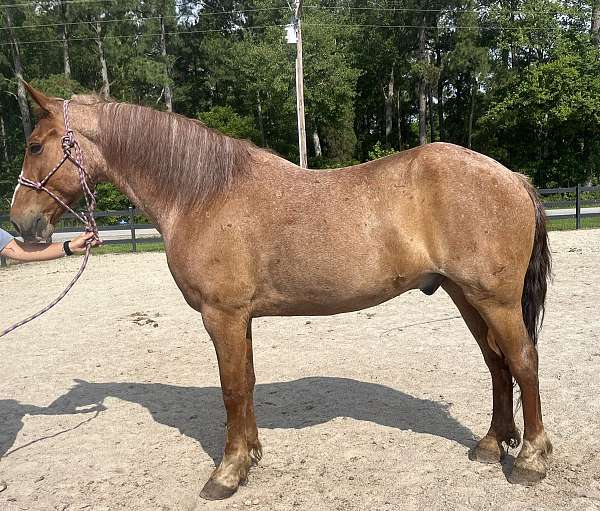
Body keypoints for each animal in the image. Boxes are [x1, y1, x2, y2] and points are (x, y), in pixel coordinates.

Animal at [9, 83, 552, 500]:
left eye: (36, 146)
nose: (21, 224)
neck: (202, 195)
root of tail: (511, 176)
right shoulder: (239, 318)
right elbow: (246, 383)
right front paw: (249, 456)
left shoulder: (222, 315)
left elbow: (231, 389)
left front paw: (226, 473)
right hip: (466, 296)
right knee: (497, 364)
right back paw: (491, 445)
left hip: (495, 300)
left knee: (523, 360)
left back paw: (531, 458)